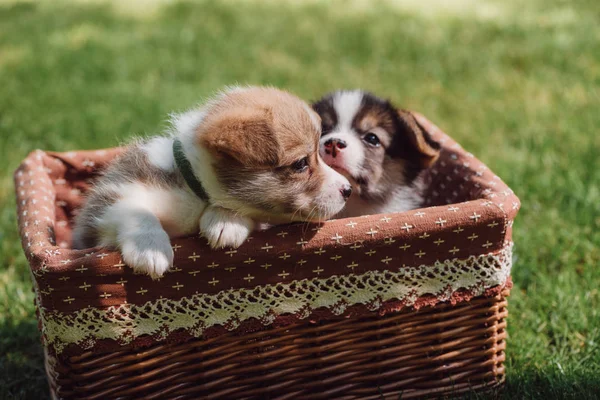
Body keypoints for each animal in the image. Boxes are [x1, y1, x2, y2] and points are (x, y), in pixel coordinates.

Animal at [73, 86, 352, 276]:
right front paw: (150, 250)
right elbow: (136, 211)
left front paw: (226, 222)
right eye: (300, 163)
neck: (196, 193)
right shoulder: (106, 201)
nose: (348, 190)